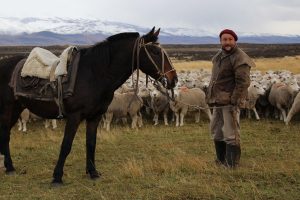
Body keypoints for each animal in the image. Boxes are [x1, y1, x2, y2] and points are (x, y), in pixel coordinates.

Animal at [0, 27, 177, 184]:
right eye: (154, 52)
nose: (173, 79)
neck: (95, 74)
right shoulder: (74, 116)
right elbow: (66, 145)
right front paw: (57, 177)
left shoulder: (95, 117)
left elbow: (91, 144)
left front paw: (93, 173)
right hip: (8, 108)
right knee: (5, 135)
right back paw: (10, 167)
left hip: (17, 108)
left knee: (6, 134)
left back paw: (9, 166)